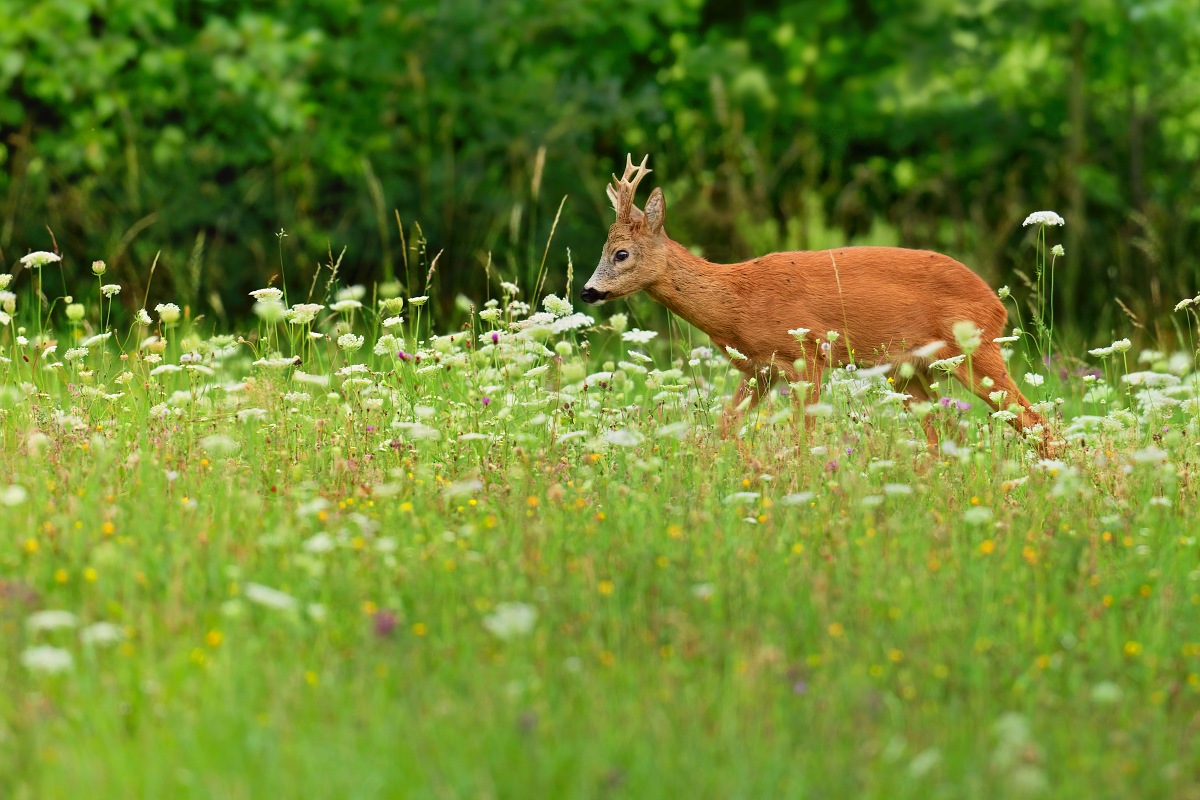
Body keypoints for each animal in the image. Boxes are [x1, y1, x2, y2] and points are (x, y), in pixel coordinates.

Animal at [580, 154, 1051, 453]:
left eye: (621, 253)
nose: (587, 291)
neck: (735, 302)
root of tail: (997, 305)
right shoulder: (759, 368)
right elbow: (724, 427)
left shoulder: (808, 354)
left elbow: (801, 433)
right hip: (910, 370)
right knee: (948, 432)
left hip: (975, 350)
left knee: (1037, 422)